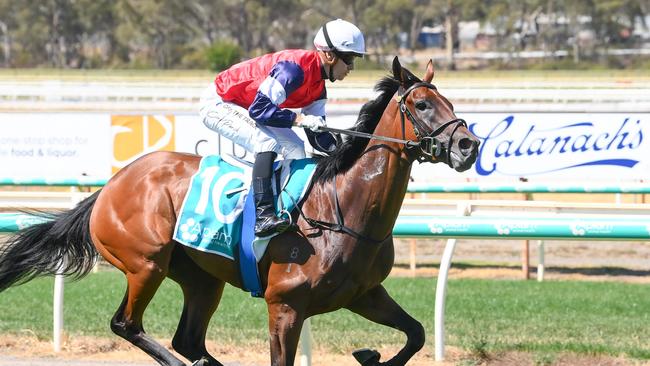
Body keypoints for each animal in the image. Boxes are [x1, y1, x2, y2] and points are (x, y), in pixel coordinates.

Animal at [0, 58, 476, 366]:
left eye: (450, 102)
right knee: (127, 324)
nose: (468, 145)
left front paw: (370, 355)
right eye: (421, 105)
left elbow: (416, 334)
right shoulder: (285, 306)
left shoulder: (364, 293)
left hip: (201, 278)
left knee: (188, 340)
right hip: (145, 264)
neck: (343, 209)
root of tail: (109, 188)